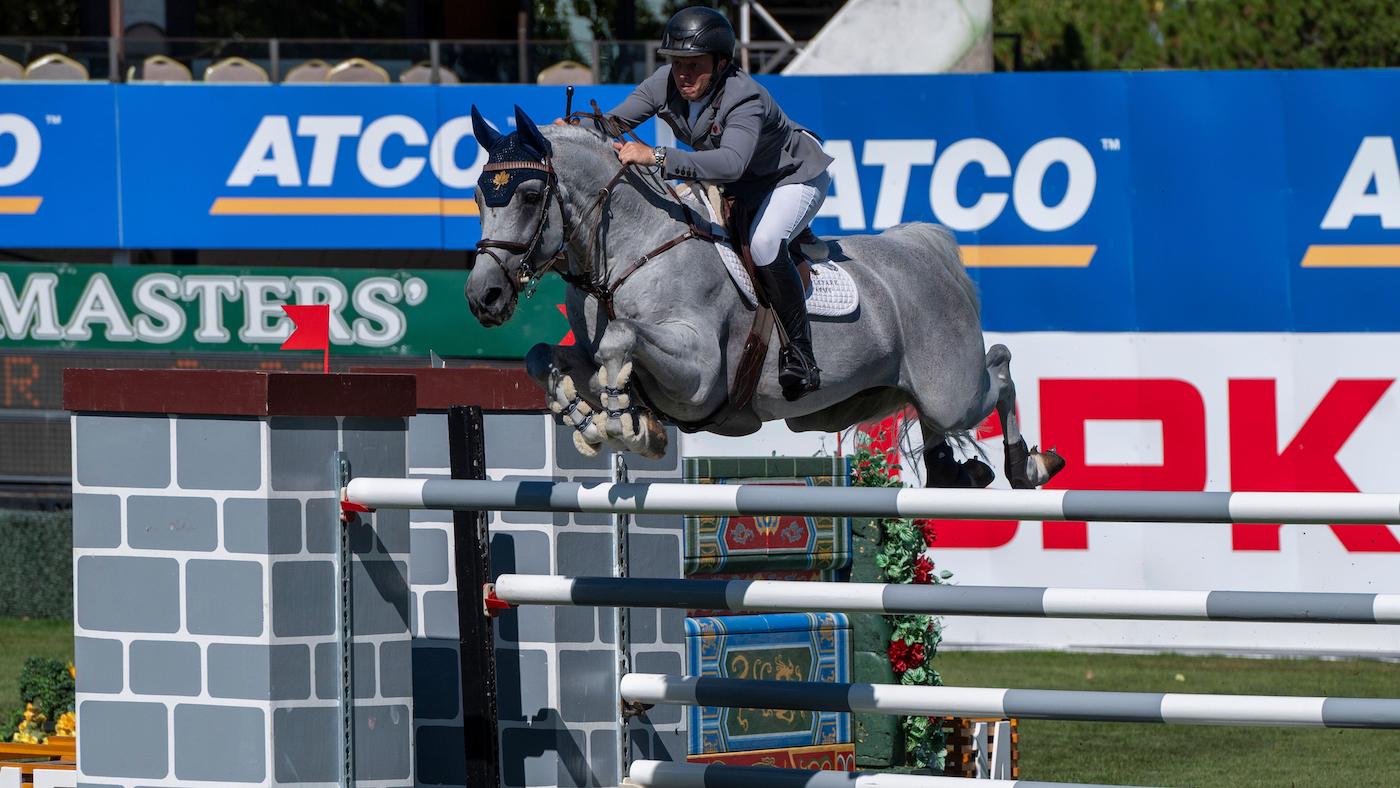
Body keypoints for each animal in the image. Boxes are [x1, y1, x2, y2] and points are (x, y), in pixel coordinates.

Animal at [465, 105, 1063, 489]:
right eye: (477, 195)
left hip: (951, 387)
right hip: (873, 397)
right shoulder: (593, 356)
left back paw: (1028, 466)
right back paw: (953, 471)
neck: (633, 249)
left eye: (530, 194)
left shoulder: (699, 377)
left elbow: (621, 337)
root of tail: (922, 248)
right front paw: (590, 419)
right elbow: (544, 356)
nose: (482, 297)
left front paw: (623, 424)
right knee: (936, 410)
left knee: (999, 367)